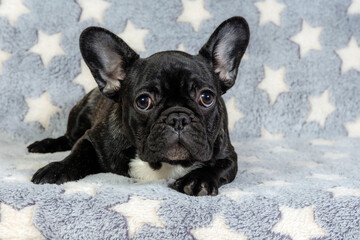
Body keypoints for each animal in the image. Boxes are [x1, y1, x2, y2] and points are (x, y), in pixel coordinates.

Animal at [28, 17, 249, 197]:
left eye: (206, 97)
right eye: (143, 101)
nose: (178, 118)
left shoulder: (228, 156)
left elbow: (217, 168)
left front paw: (197, 179)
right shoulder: (91, 139)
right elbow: (78, 154)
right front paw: (57, 168)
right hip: (79, 114)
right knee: (68, 138)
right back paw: (44, 145)